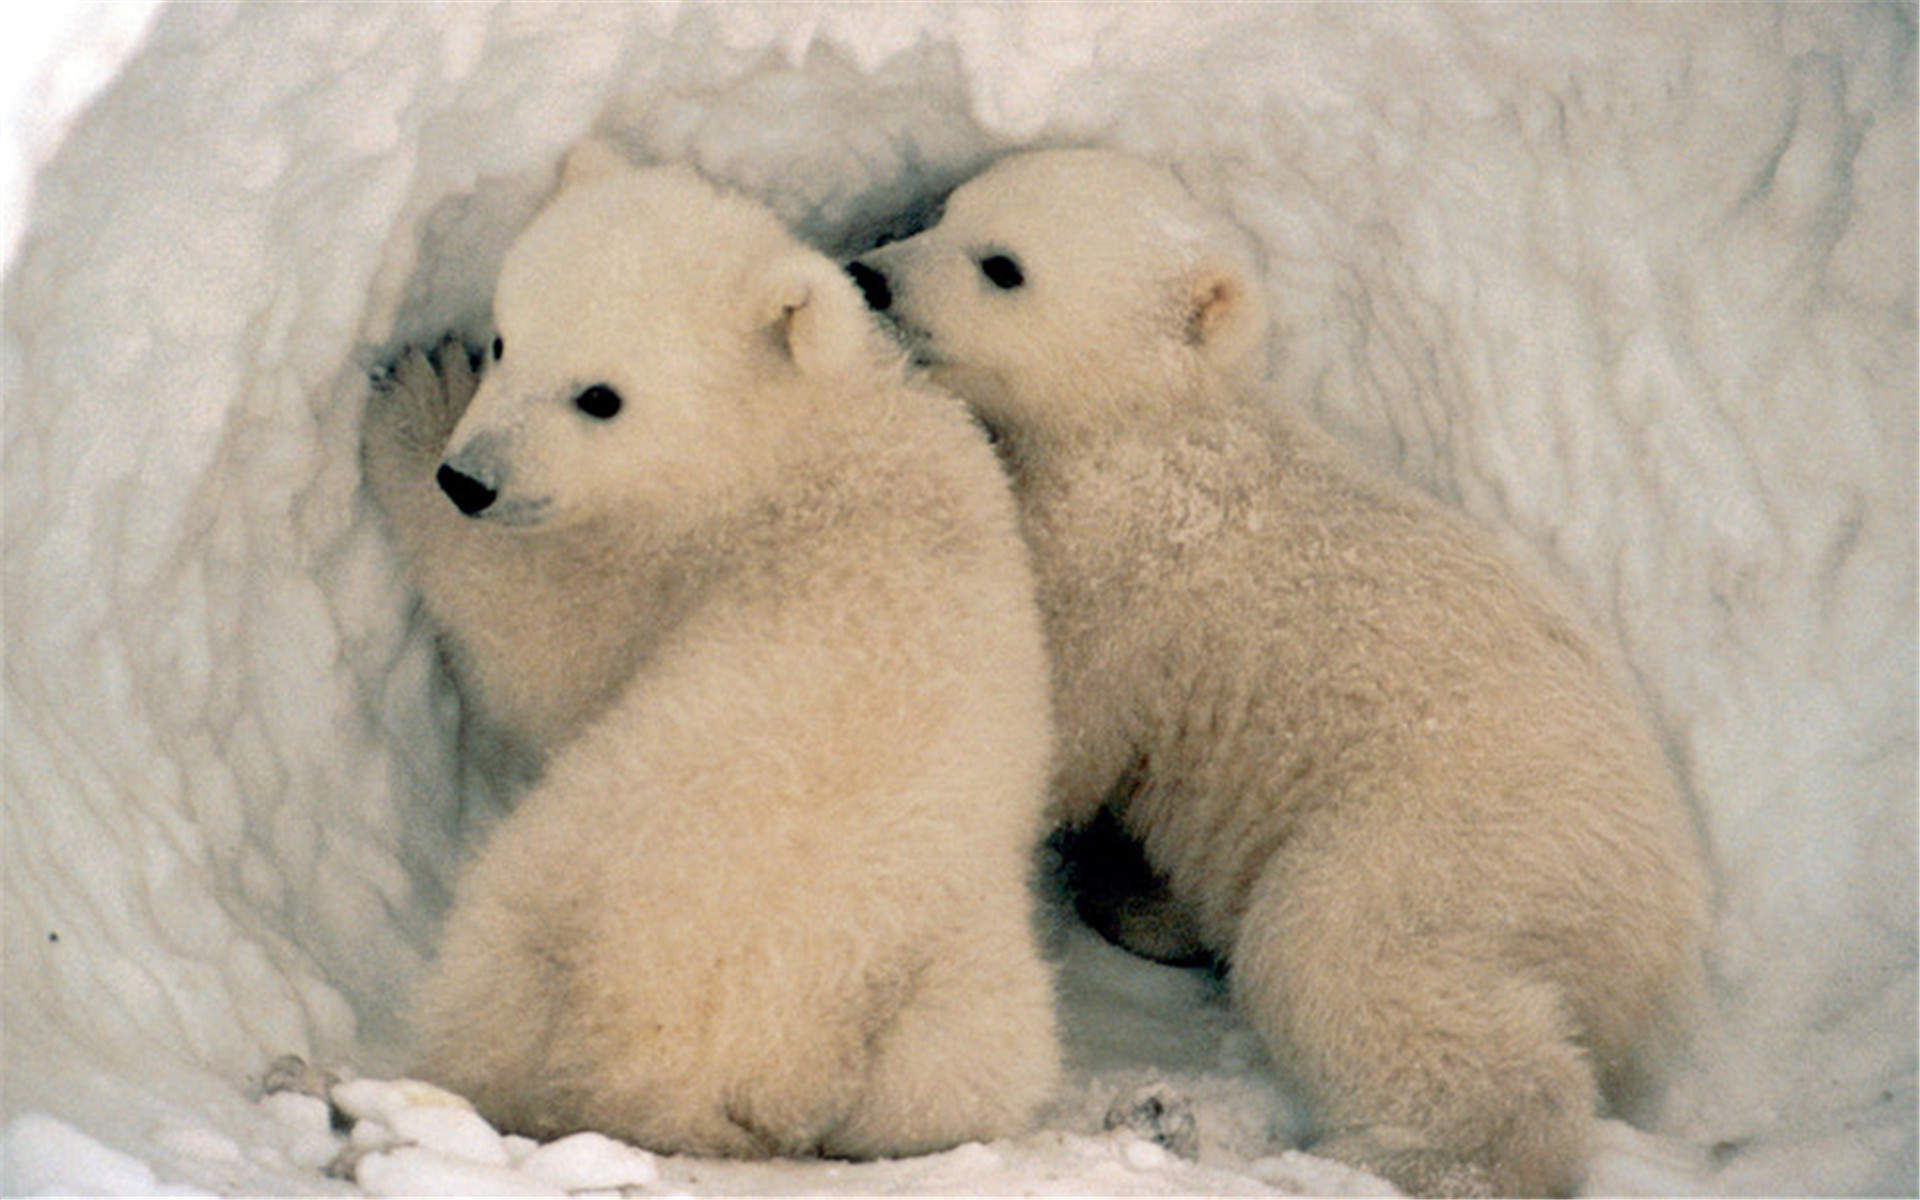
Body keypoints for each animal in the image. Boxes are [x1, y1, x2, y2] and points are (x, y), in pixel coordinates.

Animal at [360, 144, 1061, 1159]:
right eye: (506, 339)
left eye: (600, 398)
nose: (469, 478)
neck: (797, 438)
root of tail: (707, 1066)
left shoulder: (662, 563)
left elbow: (541, 650)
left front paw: (413, 403)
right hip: (946, 996)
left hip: (559, 886)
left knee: (487, 980)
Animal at [847, 147, 1710, 1197]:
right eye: (943, 211)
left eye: (1003, 265)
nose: (871, 276)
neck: (1154, 429)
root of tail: (1662, 926)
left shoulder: (1121, 571)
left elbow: (1056, 726)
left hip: (1460, 841)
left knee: (1346, 954)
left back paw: (1397, 1155)